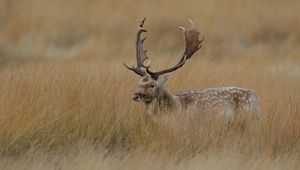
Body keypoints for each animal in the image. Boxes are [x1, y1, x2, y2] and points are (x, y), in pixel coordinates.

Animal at [124, 18, 260, 126]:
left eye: (152, 85)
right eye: (139, 83)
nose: (135, 96)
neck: (176, 106)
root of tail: (255, 97)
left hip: (246, 119)